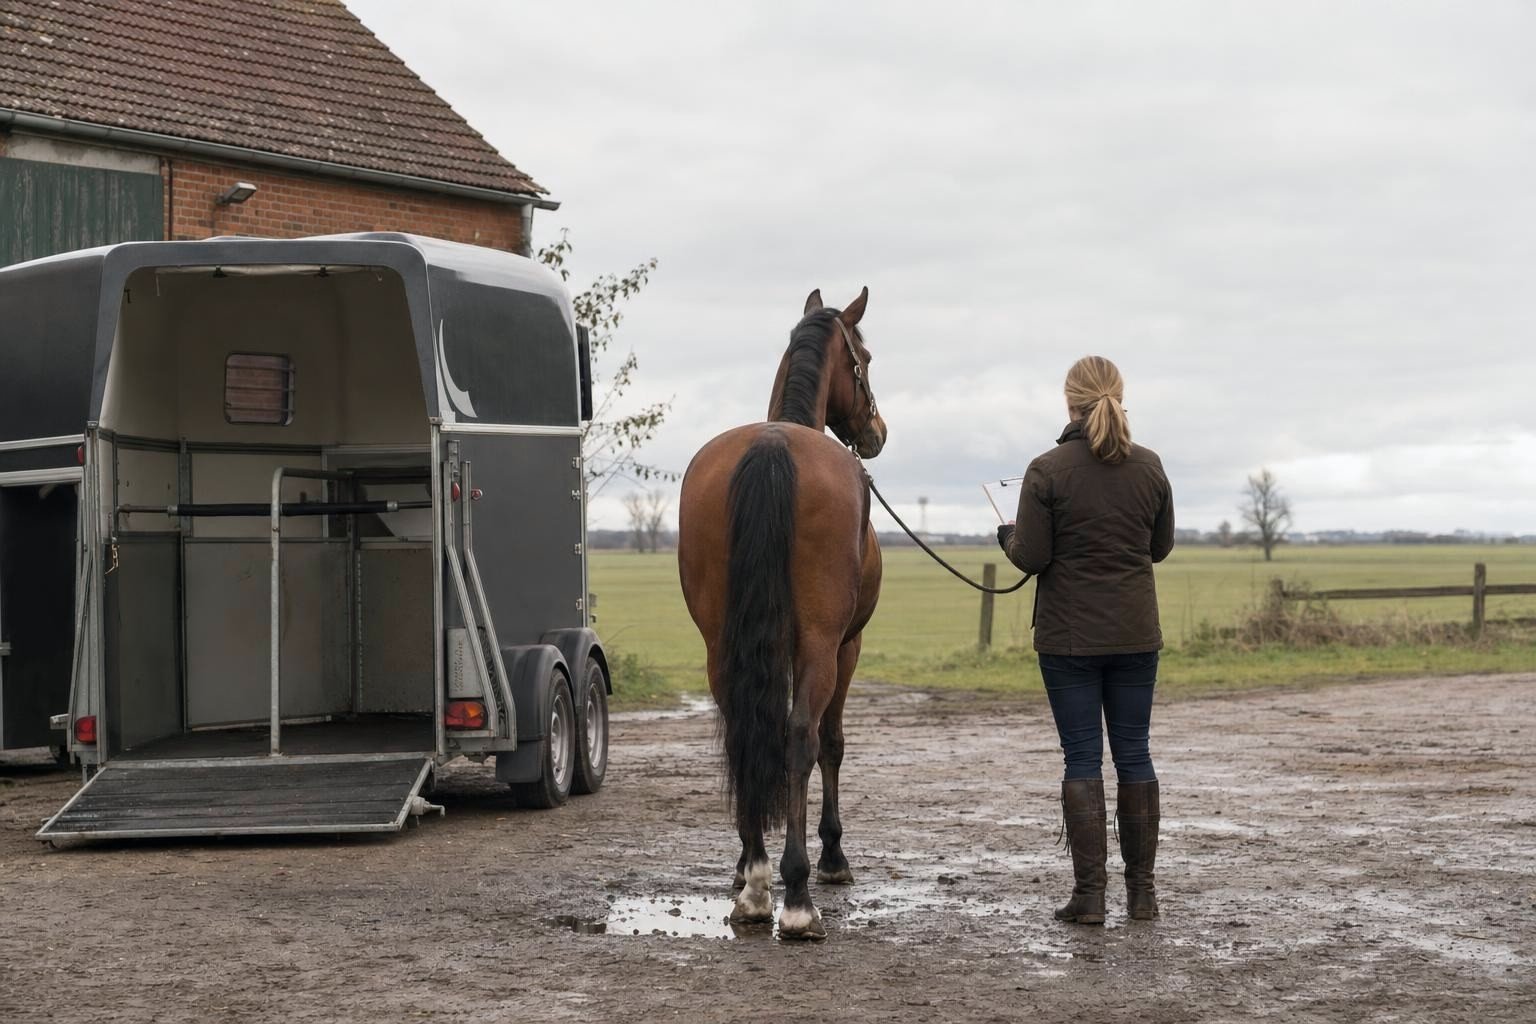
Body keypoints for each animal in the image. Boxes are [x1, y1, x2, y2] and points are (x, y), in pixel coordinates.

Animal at [676, 287, 887, 941]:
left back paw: (754, 881)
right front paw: (833, 858)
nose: (876, 431)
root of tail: (773, 446)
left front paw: (745, 868)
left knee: (743, 729)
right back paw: (794, 895)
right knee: (799, 736)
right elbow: (830, 743)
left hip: (720, 643)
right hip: (821, 643)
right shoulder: (846, 645)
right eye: (865, 357)